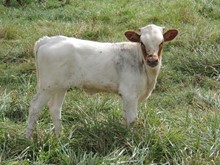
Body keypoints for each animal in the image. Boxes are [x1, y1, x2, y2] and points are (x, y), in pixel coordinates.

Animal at [25, 23, 178, 139]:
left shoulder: (126, 96)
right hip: (47, 86)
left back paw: (60, 136)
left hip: (60, 86)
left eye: (161, 42)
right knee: (35, 107)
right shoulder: (130, 94)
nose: (152, 60)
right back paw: (29, 139)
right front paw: (131, 139)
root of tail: (49, 39)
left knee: (55, 108)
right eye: (142, 42)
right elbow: (132, 119)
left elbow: (126, 118)